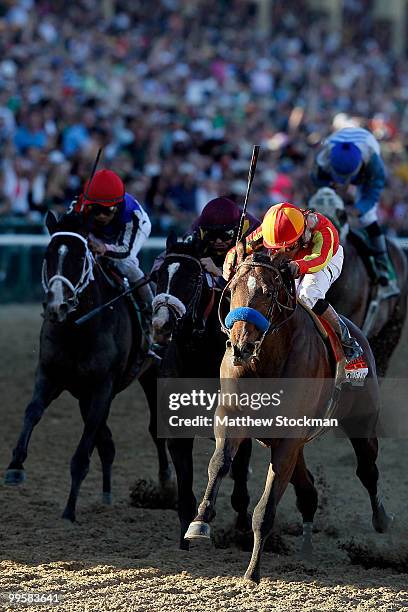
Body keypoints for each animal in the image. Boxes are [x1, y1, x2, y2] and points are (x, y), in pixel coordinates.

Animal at [5, 212, 172, 520]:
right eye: (47, 255)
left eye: (80, 257)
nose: (56, 306)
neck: (78, 329)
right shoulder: (50, 374)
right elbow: (32, 411)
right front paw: (15, 467)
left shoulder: (101, 387)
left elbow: (83, 453)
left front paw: (69, 510)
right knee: (107, 443)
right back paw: (106, 495)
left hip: (152, 375)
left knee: (155, 430)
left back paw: (167, 486)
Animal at [150, 234, 252, 548]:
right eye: (159, 275)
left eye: (193, 277)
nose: (161, 325)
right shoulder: (177, 431)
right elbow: (185, 485)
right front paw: (186, 535)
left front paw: (243, 531)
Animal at [186, 247, 394, 584]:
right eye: (231, 290)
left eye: (268, 293)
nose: (240, 347)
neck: (265, 361)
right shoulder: (232, 417)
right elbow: (219, 463)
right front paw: (199, 523)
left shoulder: (289, 437)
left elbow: (265, 508)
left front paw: (253, 572)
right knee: (308, 489)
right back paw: (307, 544)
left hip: (361, 422)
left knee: (367, 469)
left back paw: (382, 519)